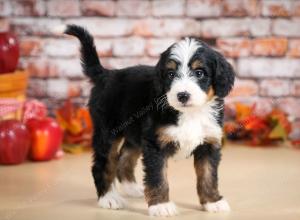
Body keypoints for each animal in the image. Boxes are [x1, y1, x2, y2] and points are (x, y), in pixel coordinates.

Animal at [65, 24, 234, 217]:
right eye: (170, 74)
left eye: (199, 73)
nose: (182, 95)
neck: (190, 113)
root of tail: (106, 74)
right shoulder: (155, 144)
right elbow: (158, 177)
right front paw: (161, 205)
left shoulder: (209, 143)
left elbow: (208, 175)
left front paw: (213, 202)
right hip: (107, 132)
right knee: (102, 164)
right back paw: (108, 198)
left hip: (135, 134)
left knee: (124, 159)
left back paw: (132, 188)